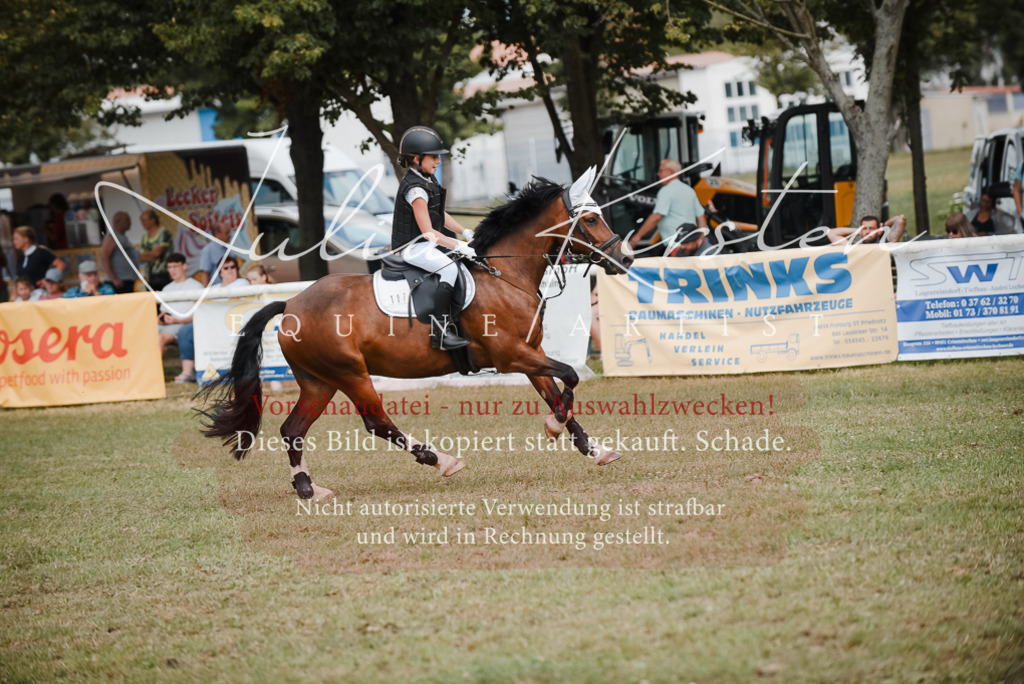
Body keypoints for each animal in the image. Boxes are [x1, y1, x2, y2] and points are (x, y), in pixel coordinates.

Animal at [197, 170, 634, 500]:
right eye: (590, 220)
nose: (626, 258)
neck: (506, 275)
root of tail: (291, 305)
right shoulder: (510, 354)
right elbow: (570, 377)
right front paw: (554, 428)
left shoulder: (530, 353)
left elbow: (558, 392)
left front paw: (595, 449)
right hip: (349, 373)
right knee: (376, 421)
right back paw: (441, 460)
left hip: (319, 380)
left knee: (293, 430)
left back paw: (308, 489)